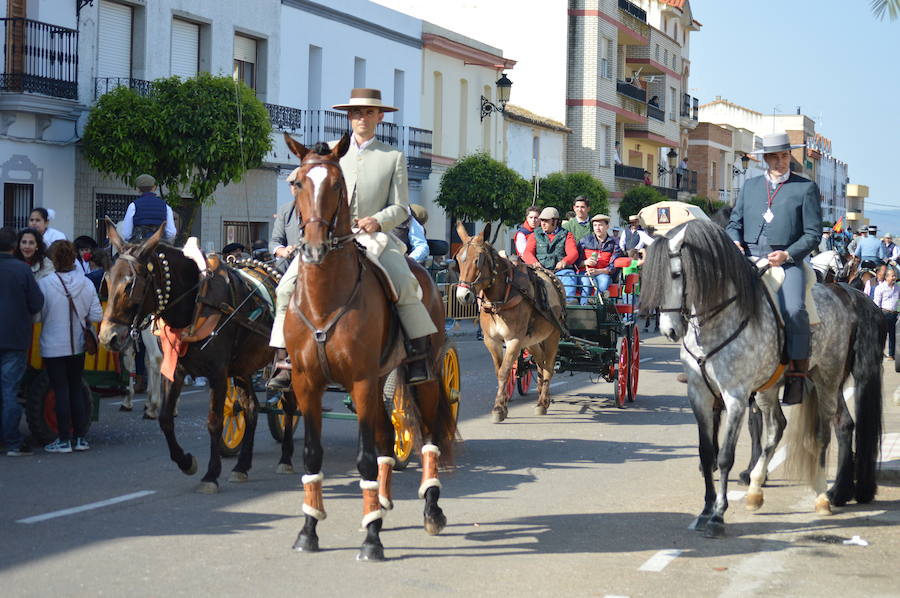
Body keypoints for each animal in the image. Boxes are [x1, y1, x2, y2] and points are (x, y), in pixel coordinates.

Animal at [99, 224, 298, 492]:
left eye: (130, 285)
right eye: (107, 281)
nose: (107, 336)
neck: (195, 305)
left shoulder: (218, 374)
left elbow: (214, 421)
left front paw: (211, 475)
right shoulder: (174, 369)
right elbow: (165, 419)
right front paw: (186, 462)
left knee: (289, 407)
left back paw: (286, 458)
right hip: (243, 367)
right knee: (251, 409)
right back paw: (242, 465)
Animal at [284, 135, 458, 564]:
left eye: (336, 185)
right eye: (296, 182)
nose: (313, 249)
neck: (324, 298)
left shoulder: (360, 381)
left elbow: (364, 456)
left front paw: (371, 540)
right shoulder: (307, 385)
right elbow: (312, 455)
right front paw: (309, 529)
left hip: (424, 377)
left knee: (429, 435)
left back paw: (431, 509)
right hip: (380, 380)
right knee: (385, 436)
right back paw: (378, 504)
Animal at [458, 223, 564, 424]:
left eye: (478, 260)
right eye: (459, 259)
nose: (463, 296)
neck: (501, 298)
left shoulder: (514, 340)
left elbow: (504, 371)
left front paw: (499, 408)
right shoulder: (491, 340)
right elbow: (499, 370)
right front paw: (503, 404)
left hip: (552, 337)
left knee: (548, 367)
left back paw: (543, 401)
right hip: (531, 341)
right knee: (540, 363)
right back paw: (541, 394)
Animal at [640, 220, 884, 540]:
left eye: (677, 274)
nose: (669, 330)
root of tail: (845, 294)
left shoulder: (736, 396)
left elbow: (725, 456)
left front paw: (718, 514)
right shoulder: (701, 394)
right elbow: (707, 452)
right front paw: (705, 510)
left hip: (827, 378)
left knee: (827, 431)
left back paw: (825, 495)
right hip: (773, 387)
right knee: (781, 426)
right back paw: (763, 489)